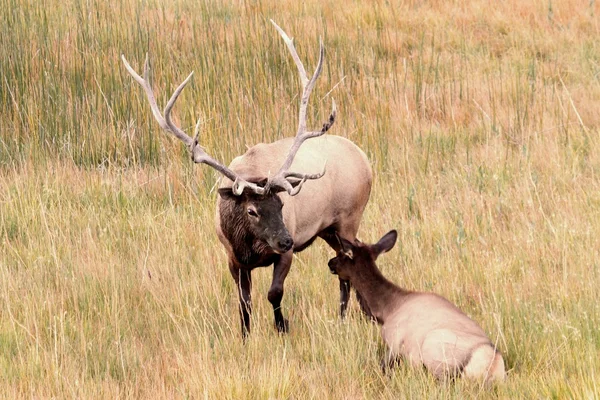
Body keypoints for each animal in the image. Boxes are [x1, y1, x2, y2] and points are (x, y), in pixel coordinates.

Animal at [121, 21, 370, 338]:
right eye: (252, 210)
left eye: (281, 205)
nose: (286, 239)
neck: (250, 246)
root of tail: (365, 159)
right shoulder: (232, 257)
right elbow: (244, 301)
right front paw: (245, 335)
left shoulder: (286, 252)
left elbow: (274, 293)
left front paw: (282, 327)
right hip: (328, 230)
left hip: (349, 216)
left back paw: (344, 317)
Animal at [328, 230, 506, 382]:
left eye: (342, 253)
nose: (330, 263)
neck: (386, 309)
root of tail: (492, 364)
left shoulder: (393, 342)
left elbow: (382, 367)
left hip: (434, 349)